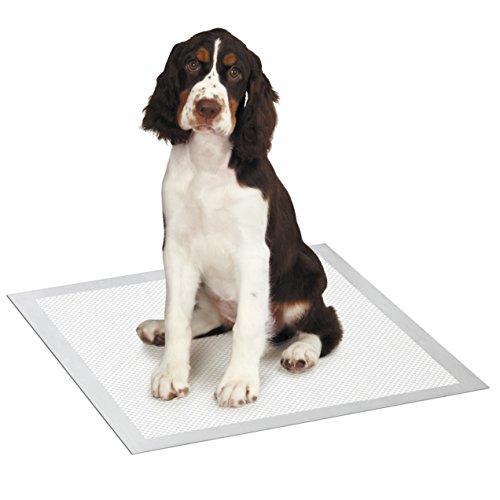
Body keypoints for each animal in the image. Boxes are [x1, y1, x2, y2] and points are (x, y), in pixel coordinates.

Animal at [136, 28, 343, 407]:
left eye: (234, 72)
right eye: (192, 64)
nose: (208, 108)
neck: (208, 161)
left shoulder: (253, 253)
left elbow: (248, 325)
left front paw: (238, 382)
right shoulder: (177, 248)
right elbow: (178, 316)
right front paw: (171, 372)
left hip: (307, 275)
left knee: (325, 325)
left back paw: (301, 352)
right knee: (212, 317)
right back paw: (158, 330)